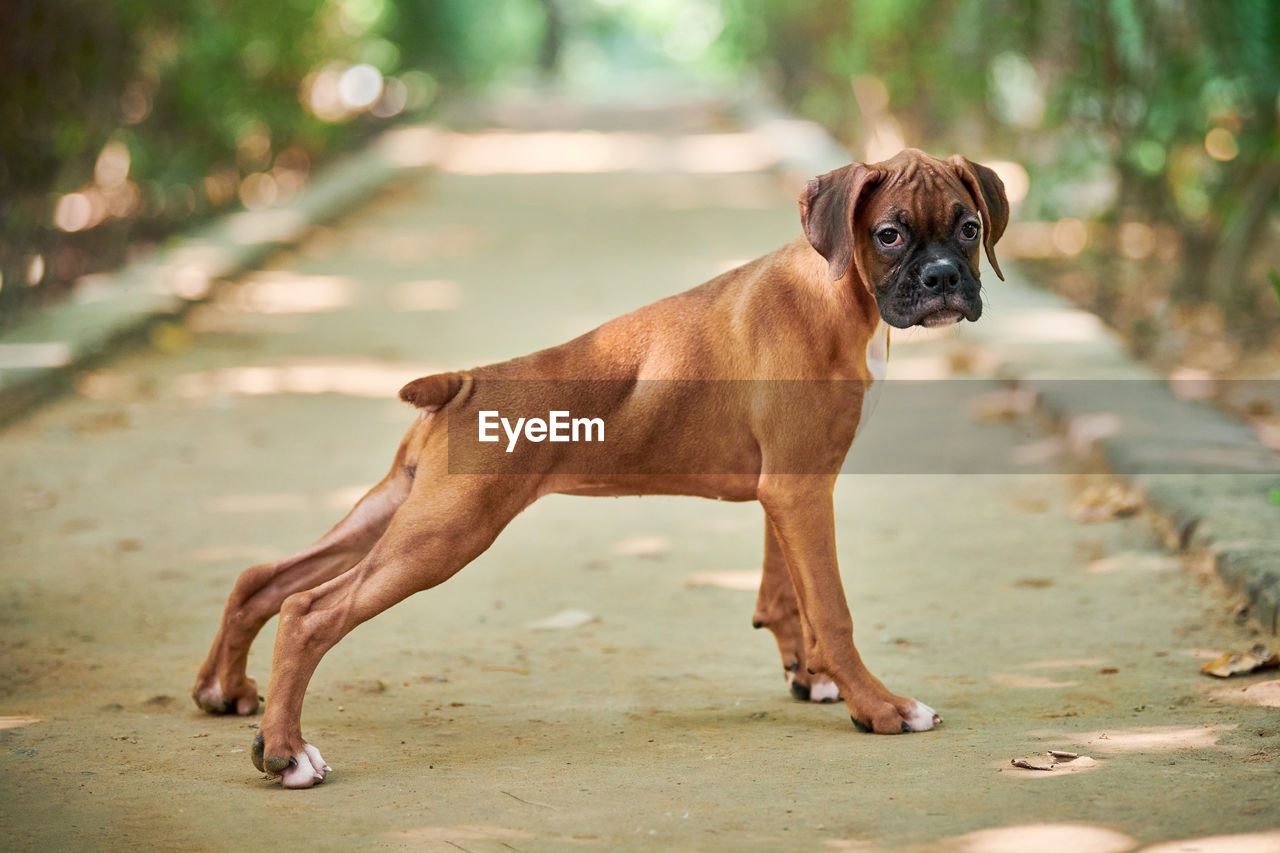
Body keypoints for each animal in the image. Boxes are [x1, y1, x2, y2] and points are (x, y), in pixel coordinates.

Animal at [192, 146, 1008, 783]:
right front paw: (880, 706)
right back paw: (285, 753)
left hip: (398, 508)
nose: (943, 278)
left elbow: (787, 595)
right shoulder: (802, 489)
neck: (839, 292)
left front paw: (811, 679)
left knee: (264, 578)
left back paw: (224, 691)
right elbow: (832, 609)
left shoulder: (787, 491)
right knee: (311, 609)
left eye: (969, 229)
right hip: (445, 533)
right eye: (890, 234)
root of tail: (464, 381)